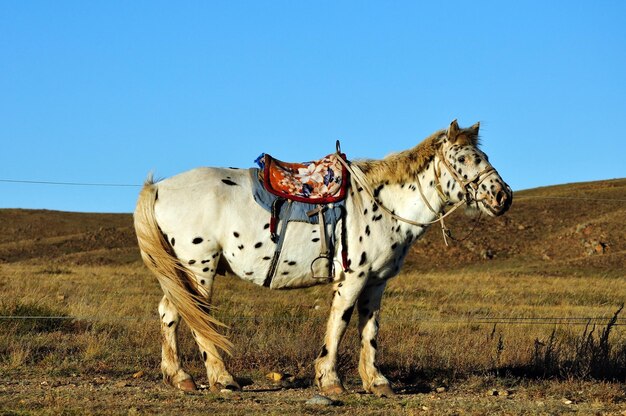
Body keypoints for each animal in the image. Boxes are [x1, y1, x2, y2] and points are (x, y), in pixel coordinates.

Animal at [134, 119, 510, 396]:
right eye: (463, 159)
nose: (502, 196)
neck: (381, 202)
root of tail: (160, 187)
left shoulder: (376, 282)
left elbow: (369, 329)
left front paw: (377, 382)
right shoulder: (353, 277)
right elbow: (339, 324)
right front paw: (330, 380)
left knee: (169, 312)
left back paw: (180, 377)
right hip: (198, 267)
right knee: (194, 318)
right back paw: (222, 379)